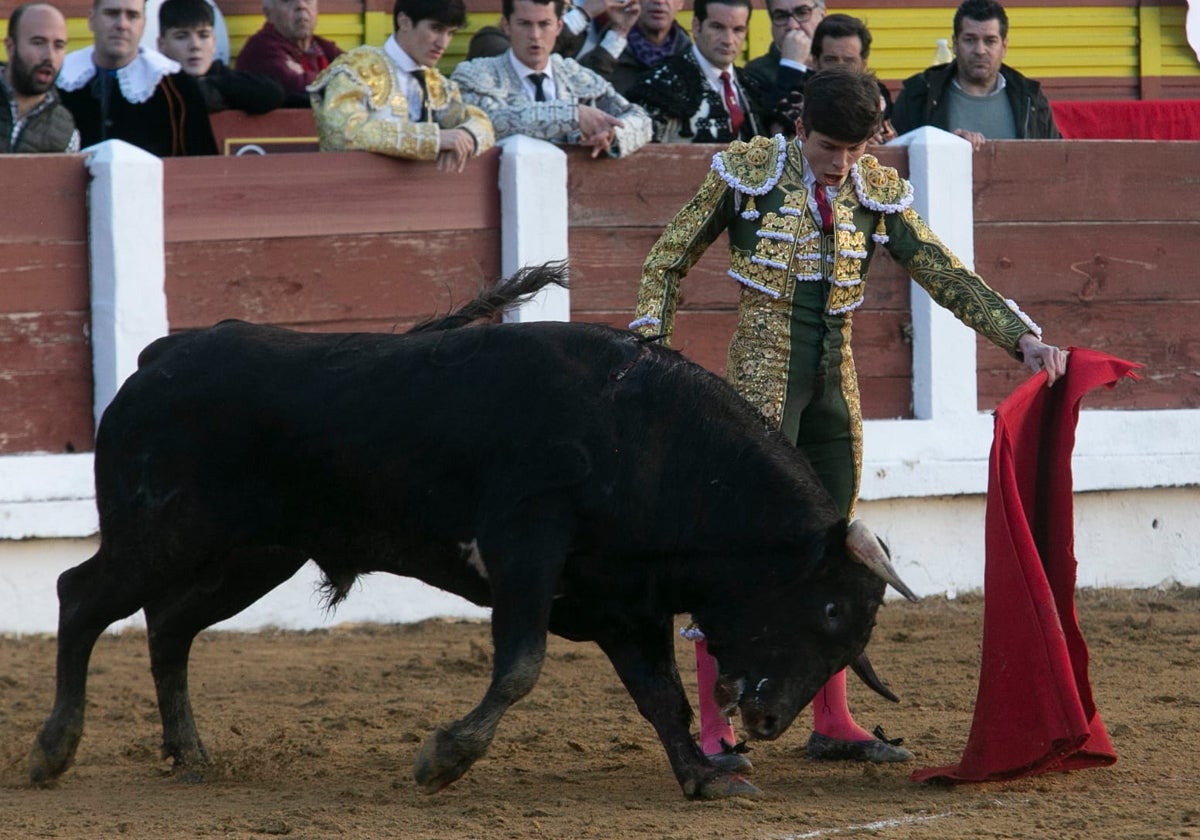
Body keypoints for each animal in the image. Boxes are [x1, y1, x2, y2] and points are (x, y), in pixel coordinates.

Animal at [30, 264, 916, 801]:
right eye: (831, 610)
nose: (766, 721)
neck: (648, 437)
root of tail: (162, 356)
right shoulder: (526, 546)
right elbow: (521, 666)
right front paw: (443, 759)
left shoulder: (625, 602)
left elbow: (658, 692)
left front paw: (704, 775)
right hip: (164, 531)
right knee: (81, 596)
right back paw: (53, 750)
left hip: (252, 555)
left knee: (169, 626)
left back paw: (191, 754)